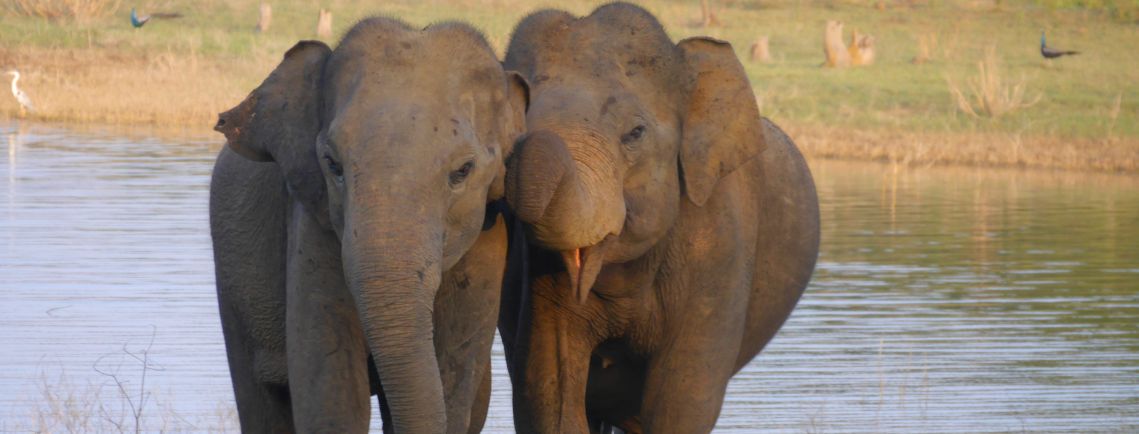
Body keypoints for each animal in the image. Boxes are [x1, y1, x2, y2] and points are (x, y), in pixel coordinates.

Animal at [210, 17, 528, 432]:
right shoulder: (312, 228)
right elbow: (332, 394)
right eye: (333, 164)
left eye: (463, 171)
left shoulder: (488, 238)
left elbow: (455, 378)